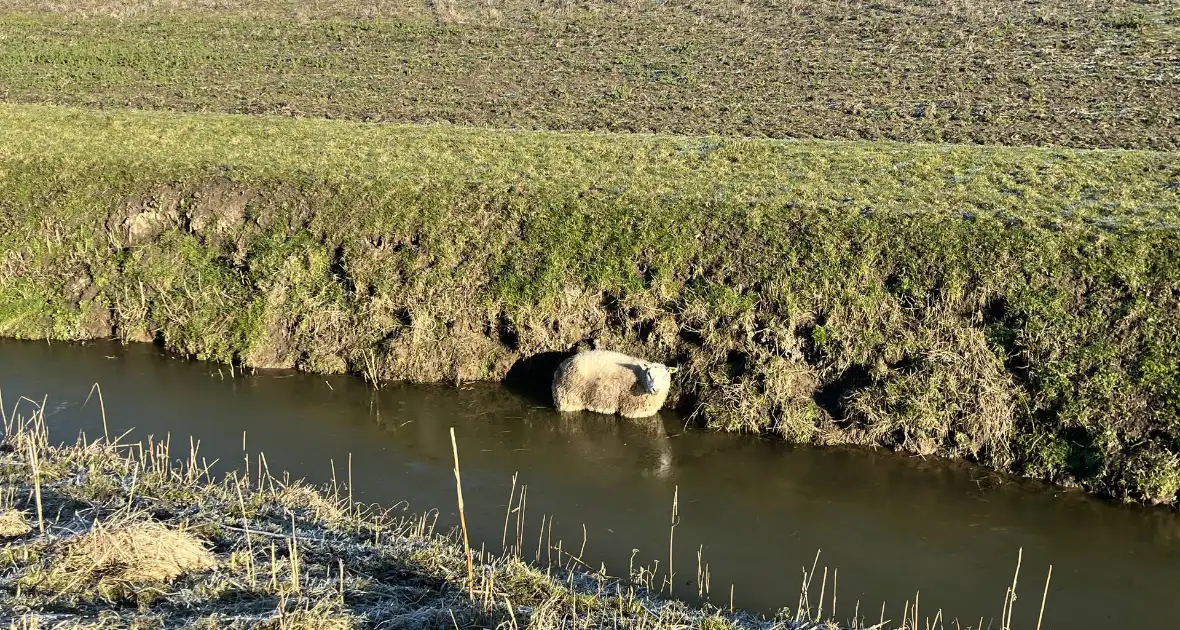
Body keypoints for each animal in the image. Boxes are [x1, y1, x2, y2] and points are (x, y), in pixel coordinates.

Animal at [549, 351, 679, 420]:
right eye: (649, 374)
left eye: (665, 376)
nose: (655, 389)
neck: (641, 378)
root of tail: (563, 364)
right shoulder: (632, 408)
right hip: (569, 396)